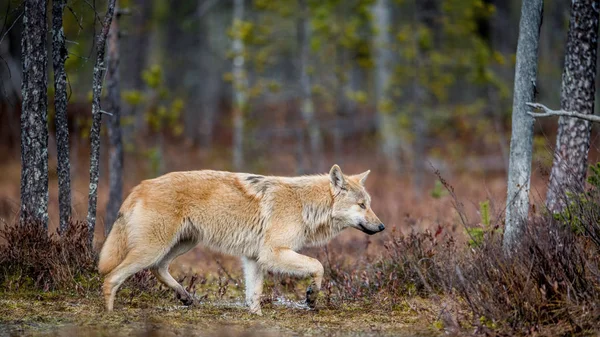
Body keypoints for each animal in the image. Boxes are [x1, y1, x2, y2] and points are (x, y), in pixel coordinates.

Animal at [98, 164, 384, 314]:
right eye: (362, 205)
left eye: (369, 204)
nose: (381, 226)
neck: (305, 205)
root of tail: (140, 186)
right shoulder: (272, 253)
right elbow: (319, 266)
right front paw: (311, 296)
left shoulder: (254, 258)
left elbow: (253, 294)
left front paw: (256, 316)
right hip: (153, 248)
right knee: (111, 277)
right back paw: (110, 313)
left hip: (181, 245)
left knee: (158, 269)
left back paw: (185, 297)